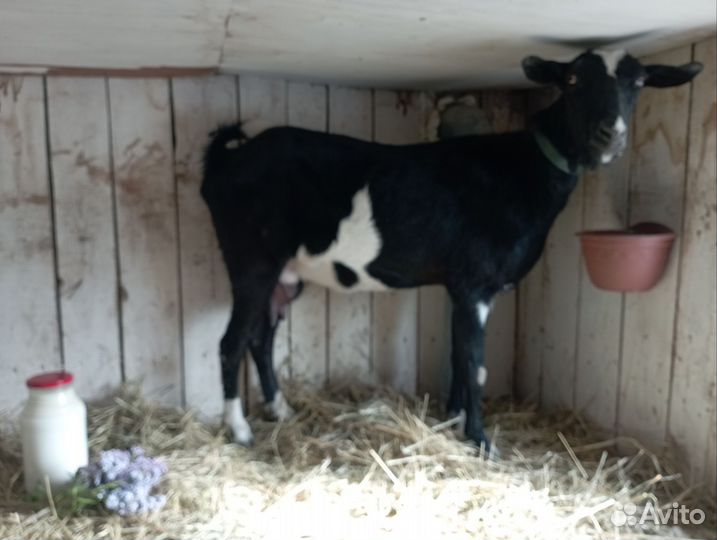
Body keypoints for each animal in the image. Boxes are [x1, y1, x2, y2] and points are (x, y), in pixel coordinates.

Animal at [202, 49, 701, 448]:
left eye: (639, 82)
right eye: (573, 80)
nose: (609, 133)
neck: (525, 168)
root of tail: (227, 162)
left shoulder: (463, 288)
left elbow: (459, 358)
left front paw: (455, 419)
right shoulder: (475, 283)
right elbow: (475, 363)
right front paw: (481, 441)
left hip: (285, 272)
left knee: (260, 336)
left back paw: (280, 410)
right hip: (253, 260)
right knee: (231, 341)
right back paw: (240, 430)